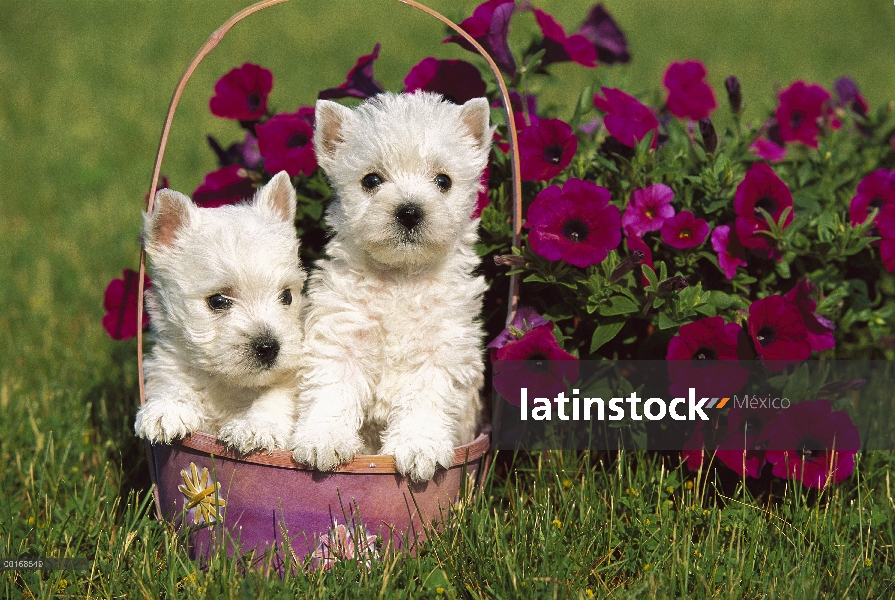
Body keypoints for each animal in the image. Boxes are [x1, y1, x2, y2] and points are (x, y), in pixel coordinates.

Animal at [135, 171, 306, 452]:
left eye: (287, 296)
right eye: (217, 301)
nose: (268, 347)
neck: (228, 384)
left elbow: (276, 396)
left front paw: (255, 426)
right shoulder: (172, 361)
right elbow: (173, 382)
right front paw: (166, 410)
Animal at [292, 91, 490, 480]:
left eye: (443, 181)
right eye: (371, 180)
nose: (409, 211)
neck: (401, 278)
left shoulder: (441, 351)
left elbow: (426, 400)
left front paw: (419, 449)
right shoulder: (340, 338)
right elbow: (330, 391)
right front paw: (323, 440)